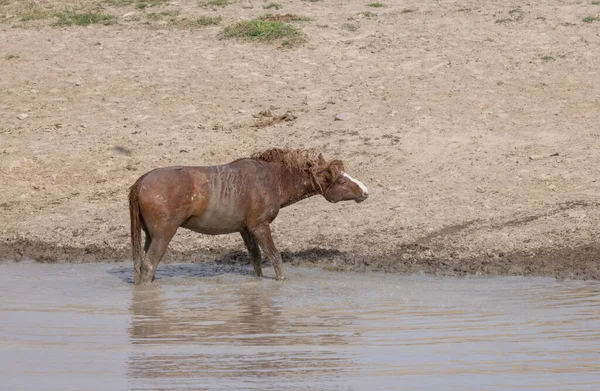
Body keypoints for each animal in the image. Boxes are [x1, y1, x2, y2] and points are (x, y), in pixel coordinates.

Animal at [129, 147, 368, 284]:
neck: (273, 178)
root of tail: (139, 182)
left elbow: (256, 261)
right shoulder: (260, 226)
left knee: (143, 267)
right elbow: (275, 258)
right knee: (148, 266)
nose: (365, 191)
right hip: (164, 234)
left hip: (150, 235)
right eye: (340, 180)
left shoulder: (245, 229)